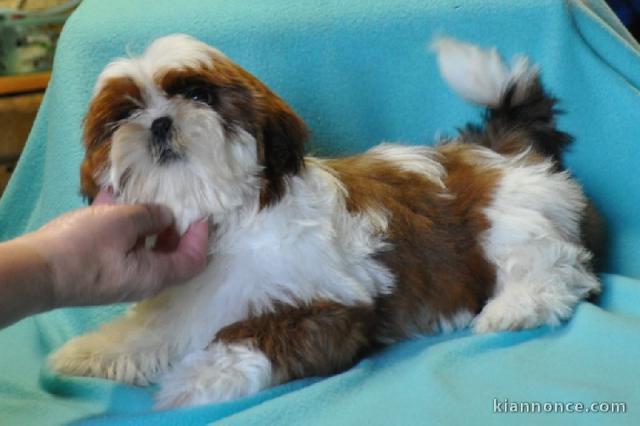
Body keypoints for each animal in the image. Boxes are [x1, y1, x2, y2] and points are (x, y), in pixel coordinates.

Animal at [51, 35, 600, 408]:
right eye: (125, 115)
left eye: (199, 95)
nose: (159, 123)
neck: (232, 217)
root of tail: (497, 148)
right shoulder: (188, 296)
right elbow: (153, 329)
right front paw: (90, 351)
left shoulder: (333, 308)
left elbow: (253, 336)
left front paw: (198, 378)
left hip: (513, 219)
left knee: (555, 266)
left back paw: (515, 306)